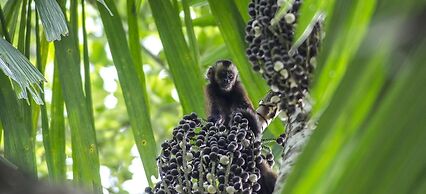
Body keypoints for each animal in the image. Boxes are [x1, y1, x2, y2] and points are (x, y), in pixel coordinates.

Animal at [206, 59, 278, 194]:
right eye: (222, 75)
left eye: (230, 76)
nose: (227, 81)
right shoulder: (210, 89)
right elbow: (215, 113)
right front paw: (215, 121)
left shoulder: (239, 87)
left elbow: (247, 110)